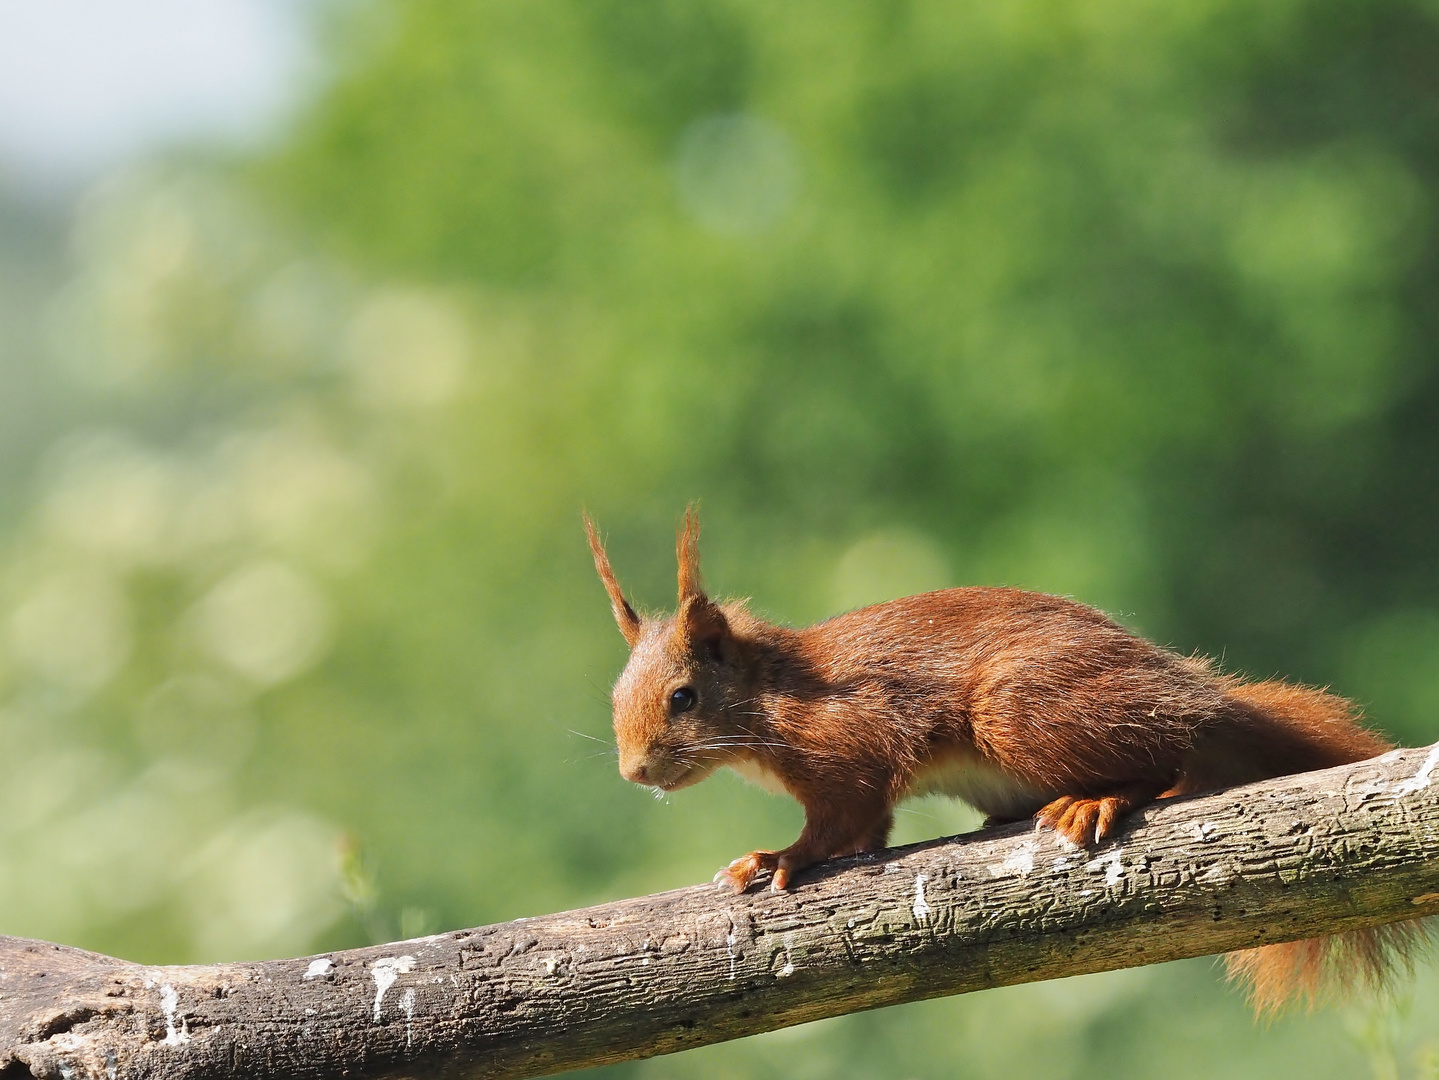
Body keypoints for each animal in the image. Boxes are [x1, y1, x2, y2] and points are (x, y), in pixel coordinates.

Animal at [587, 511, 1427, 1018]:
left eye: (684, 697)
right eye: (615, 693)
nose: (633, 772)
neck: (768, 695)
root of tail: (1194, 690)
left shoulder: (847, 744)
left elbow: (844, 824)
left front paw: (779, 858)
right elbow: (865, 834)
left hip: (1021, 707)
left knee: (1167, 756)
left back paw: (1098, 799)